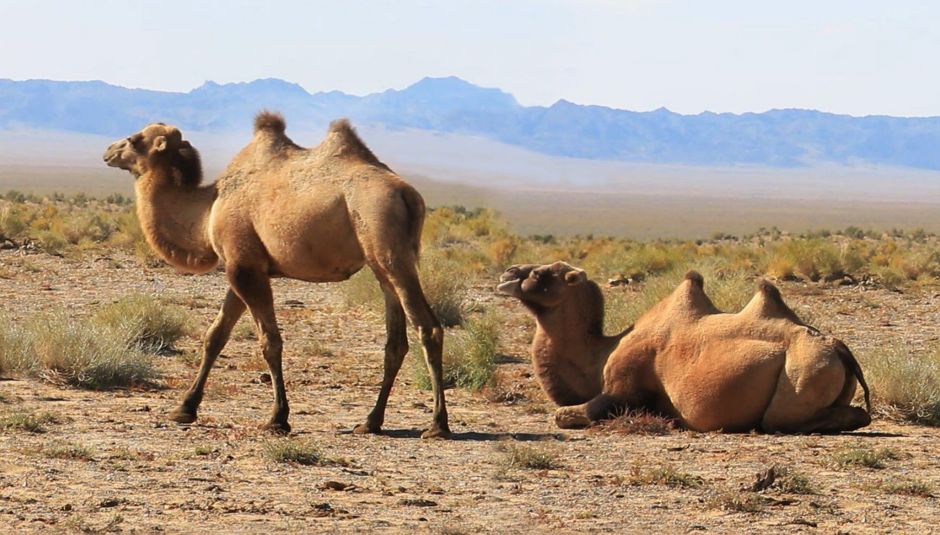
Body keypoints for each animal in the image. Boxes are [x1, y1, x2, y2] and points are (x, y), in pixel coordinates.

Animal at [104, 113, 450, 440]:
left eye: (134, 140)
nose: (108, 151)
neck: (207, 209)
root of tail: (409, 195)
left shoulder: (243, 267)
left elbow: (269, 341)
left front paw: (277, 418)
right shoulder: (244, 265)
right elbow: (215, 336)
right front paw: (184, 408)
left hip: (389, 250)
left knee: (428, 328)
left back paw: (437, 425)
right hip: (382, 264)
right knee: (395, 341)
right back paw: (370, 422)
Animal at [500, 264, 872, 436]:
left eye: (540, 274)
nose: (508, 274)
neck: (604, 350)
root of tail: (837, 347)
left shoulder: (621, 386)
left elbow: (567, 415)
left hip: (802, 374)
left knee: (785, 419)